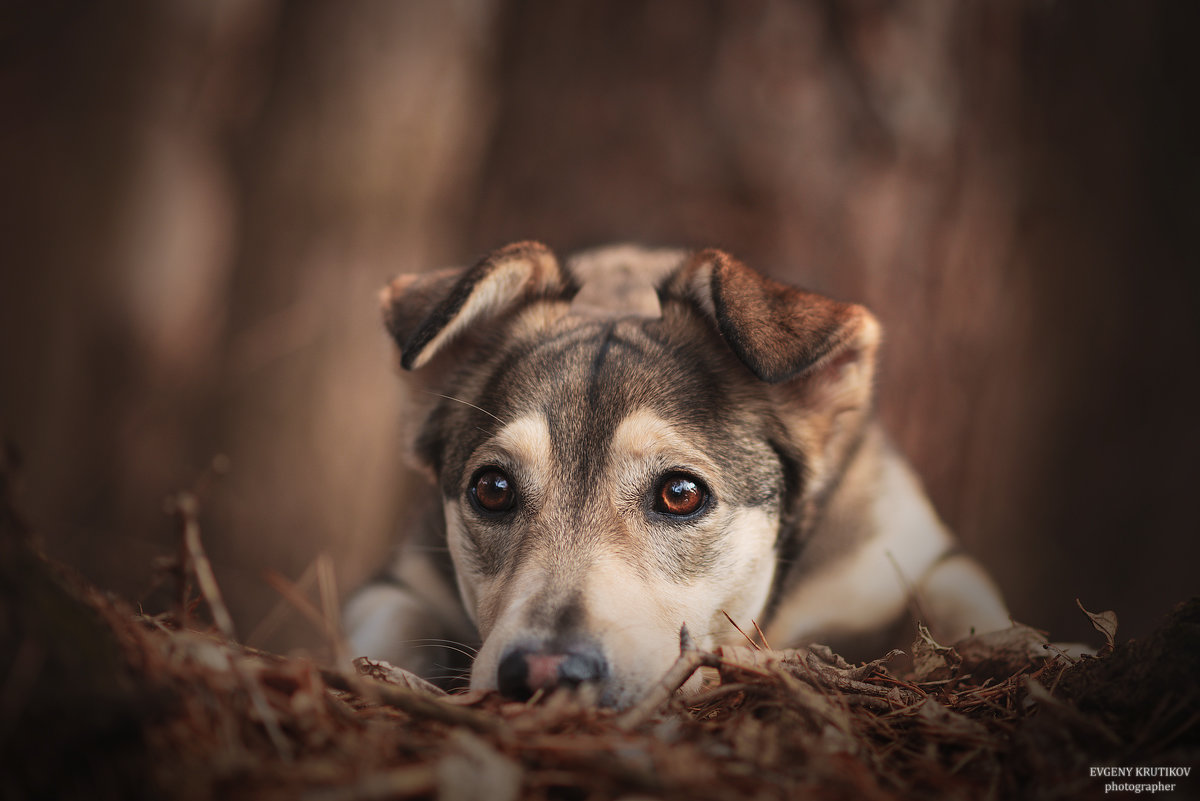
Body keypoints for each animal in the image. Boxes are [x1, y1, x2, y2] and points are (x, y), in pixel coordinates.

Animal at [348, 239, 1012, 705]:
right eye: (491, 488)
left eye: (681, 494)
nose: (544, 671)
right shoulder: (402, 579)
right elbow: (381, 618)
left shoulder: (897, 547)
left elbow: (962, 594)